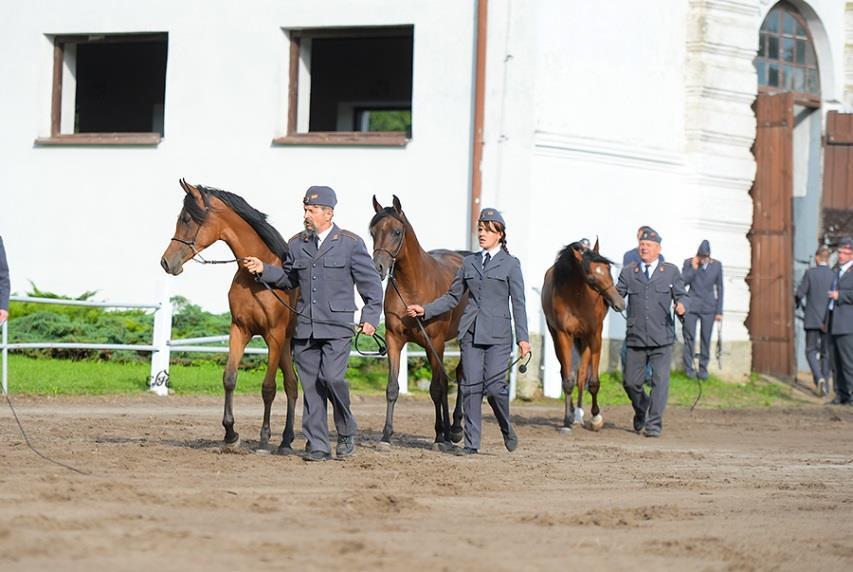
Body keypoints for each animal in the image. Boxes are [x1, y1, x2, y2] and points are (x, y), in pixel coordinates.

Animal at [160, 179, 300, 452]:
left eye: (187, 219)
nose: (166, 262)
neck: (258, 275)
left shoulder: (273, 335)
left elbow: (268, 387)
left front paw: (264, 438)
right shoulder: (240, 330)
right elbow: (229, 378)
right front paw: (230, 434)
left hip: (285, 341)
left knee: (292, 384)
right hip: (285, 343)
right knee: (292, 384)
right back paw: (286, 440)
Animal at [370, 197, 466, 446]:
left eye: (396, 231)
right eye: (372, 231)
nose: (378, 268)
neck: (413, 287)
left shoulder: (436, 342)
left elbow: (436, 388)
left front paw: (443, 437)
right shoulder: (394, 340)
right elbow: (392, 388)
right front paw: (386, 435)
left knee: (458, 377)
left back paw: (454, 430)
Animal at [540, 241, 624, 434]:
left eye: (608, 268)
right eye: (591, 277)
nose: (620, 303)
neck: (576, 298)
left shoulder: (595, 335)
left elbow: (592, 381)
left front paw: (596, 418)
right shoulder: (563, 335)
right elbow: (568, 379)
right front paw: (566, 420)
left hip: (584, 340)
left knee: (582, 375)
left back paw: (579, 414)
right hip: (560, 338)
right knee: (567, 373)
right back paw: (573, 414)